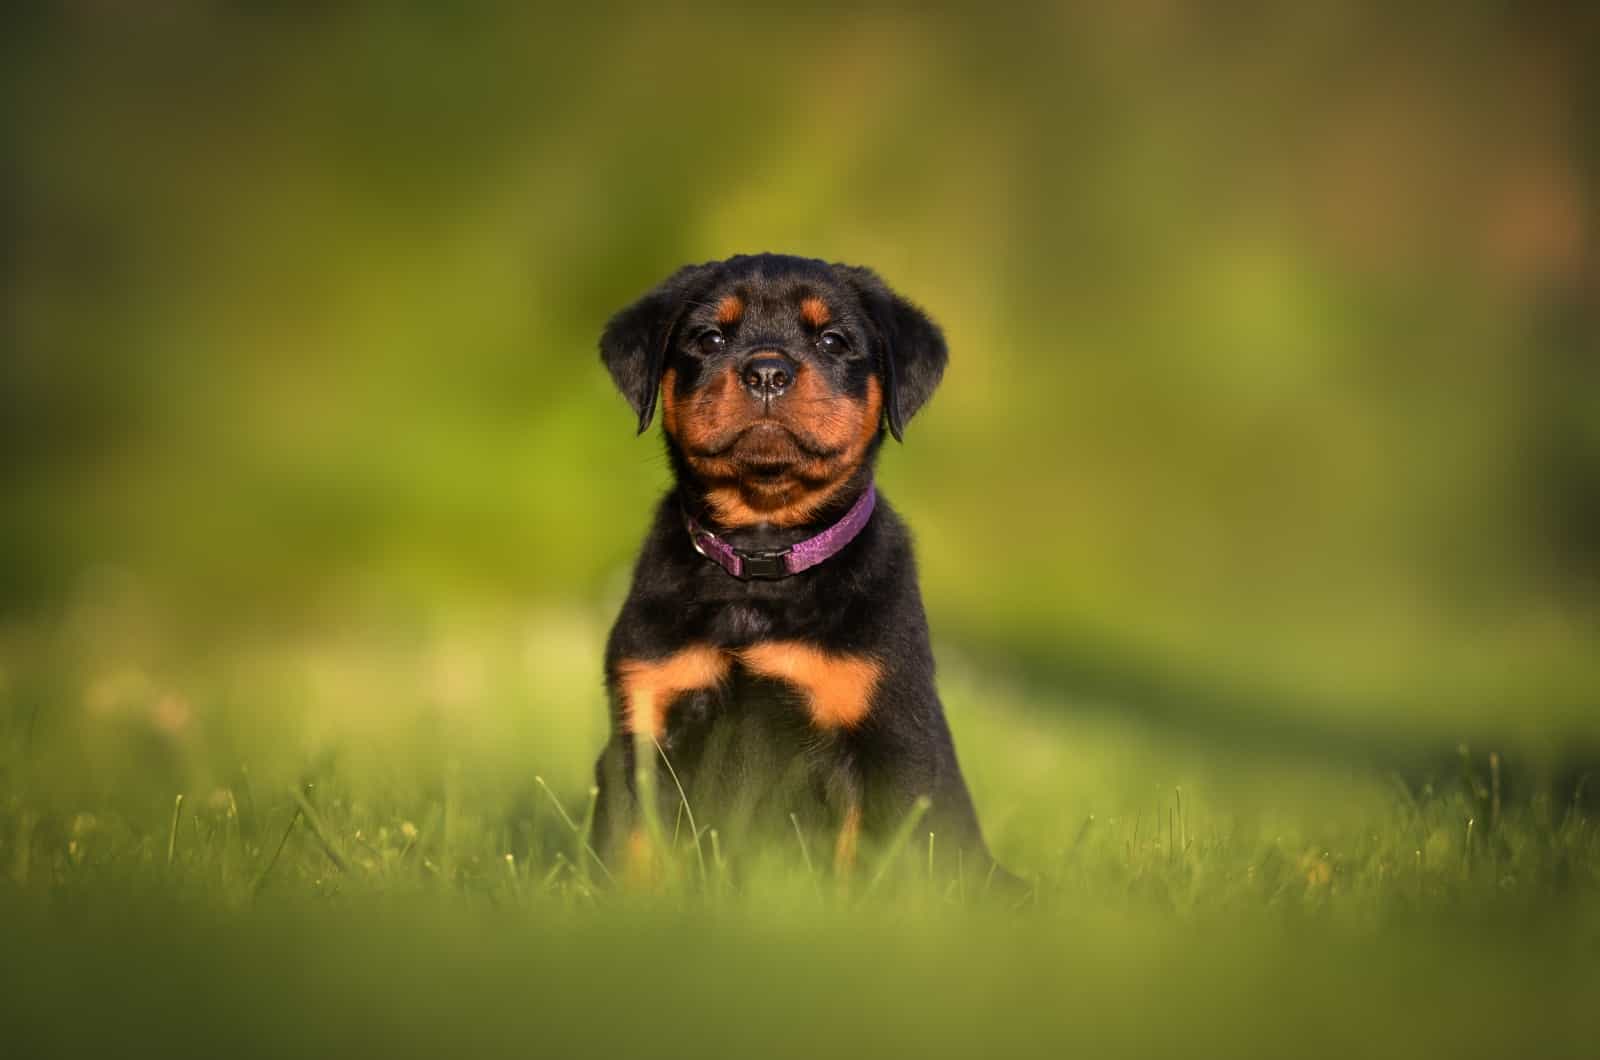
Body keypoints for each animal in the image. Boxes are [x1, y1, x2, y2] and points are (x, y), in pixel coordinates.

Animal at [598, 256, 998, 877]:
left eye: (833, 340)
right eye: (709, 338)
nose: (767, 371)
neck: (762, 559)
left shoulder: (888, 748)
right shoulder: (643, 727)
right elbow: (636, 856)